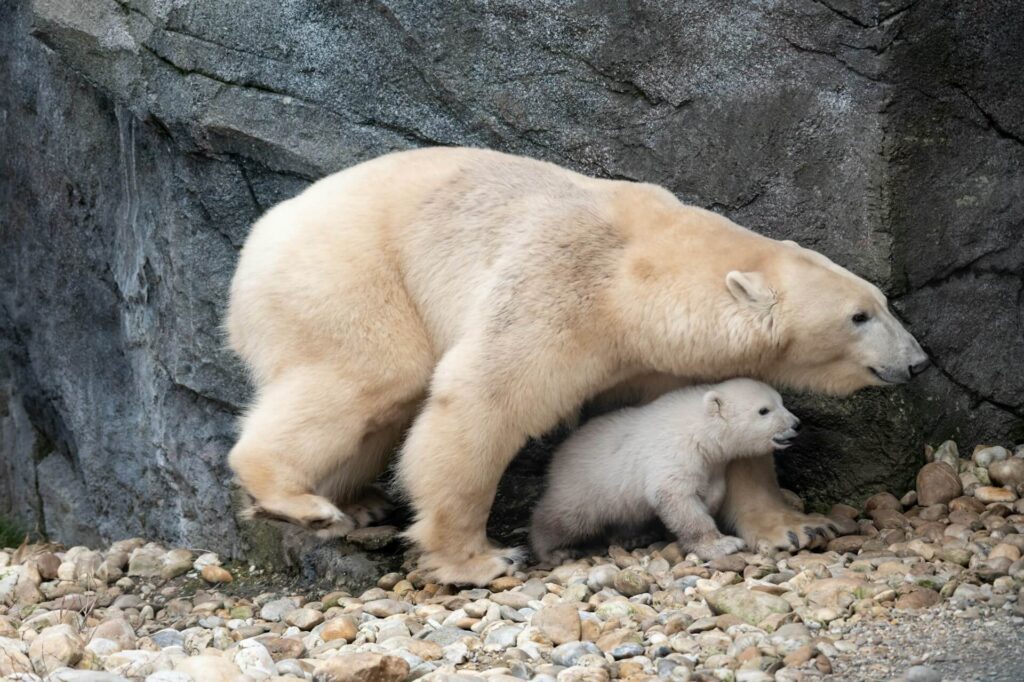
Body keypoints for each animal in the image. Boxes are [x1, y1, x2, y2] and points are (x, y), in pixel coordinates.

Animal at [532, 374, 802, 561]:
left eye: (781, 401)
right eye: (764, 410)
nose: (796, 424)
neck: (700, 428)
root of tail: (558, 456)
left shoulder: (712, 462)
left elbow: (713, 489)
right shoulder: (675, 452)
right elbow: (674, 496)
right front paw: (721, 545)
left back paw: (632, 536)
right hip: (584, 487)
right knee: (564, 519)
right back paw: (553, 551)